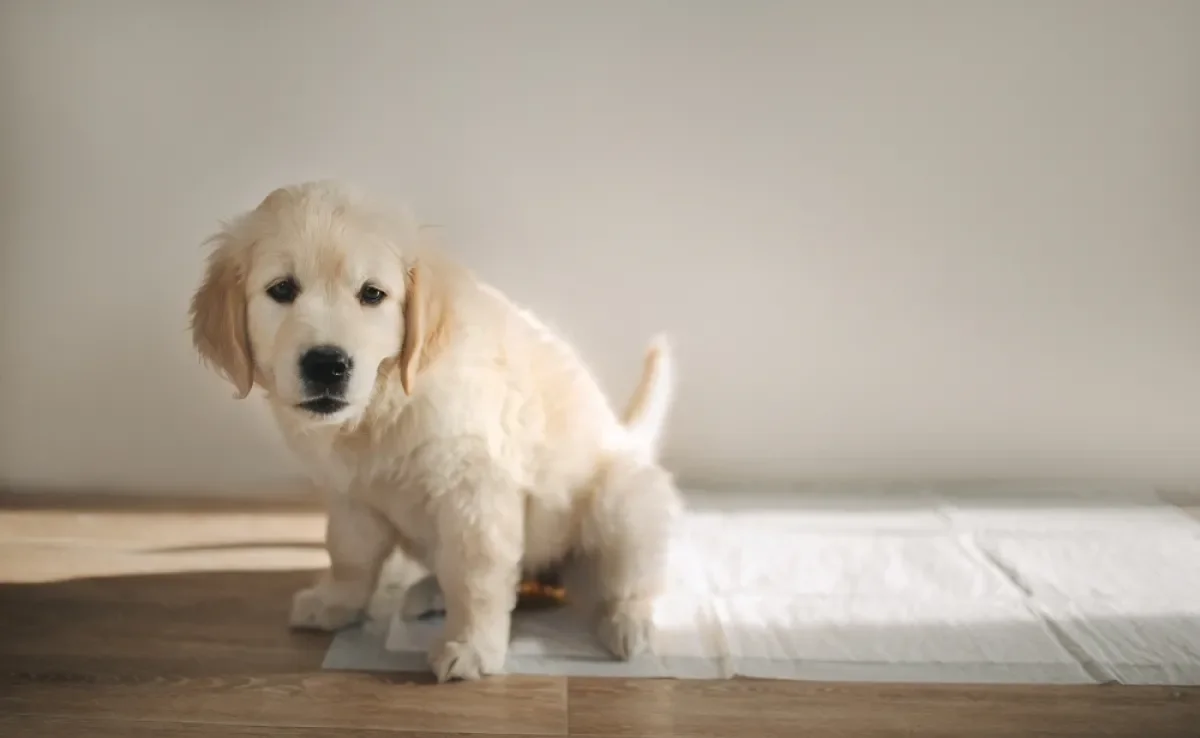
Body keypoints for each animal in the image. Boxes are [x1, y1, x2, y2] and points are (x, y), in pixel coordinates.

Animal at [192, 182, 686, 686]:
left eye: (372, 294)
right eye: (282, 290)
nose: (327, 364)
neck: (382, 408)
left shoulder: (473, 492)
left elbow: (475, 574)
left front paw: (470, 646)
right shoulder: (350, 495)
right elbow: (349, 554)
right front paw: (337, 602)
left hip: (620, 501)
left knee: (630, 578)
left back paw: (627, 623)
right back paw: (427, 593)